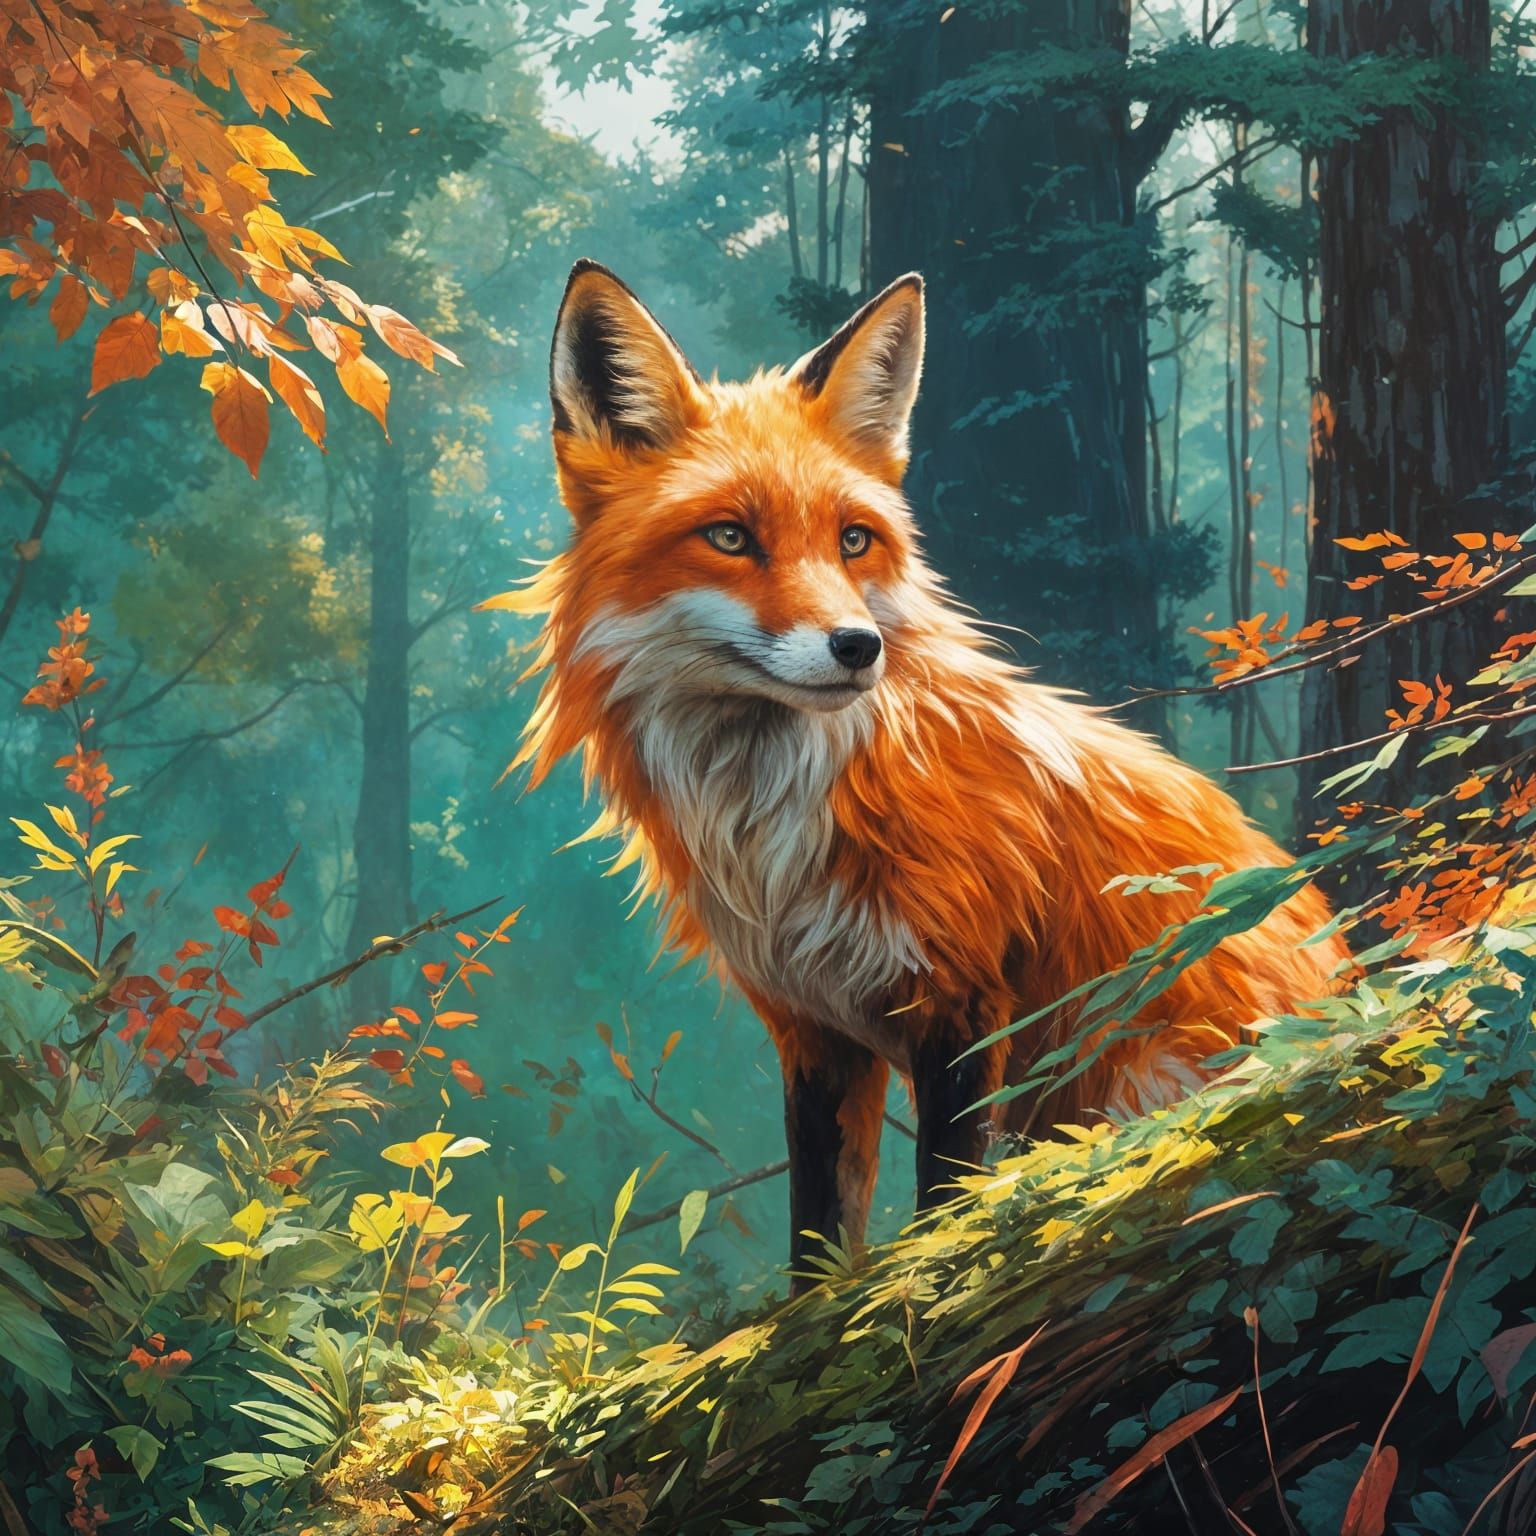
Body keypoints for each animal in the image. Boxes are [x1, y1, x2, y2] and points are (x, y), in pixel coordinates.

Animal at [489, 259, 1346, 1289]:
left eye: (854, 541)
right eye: (730, 538)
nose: (858, 647)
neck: (776, 824)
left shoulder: (967, 1002)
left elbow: (945, 1200)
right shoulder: (814, 1030)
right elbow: (819, 1234)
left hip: (1134, 1080)